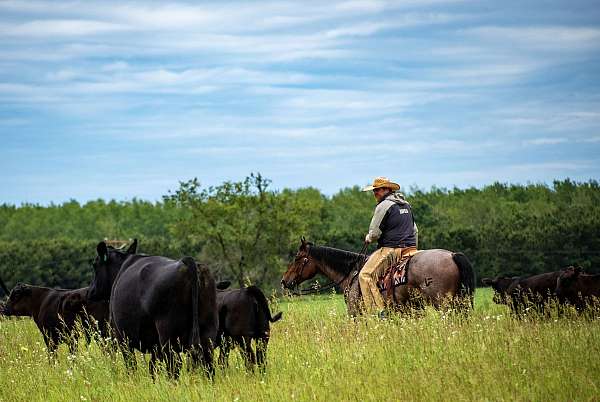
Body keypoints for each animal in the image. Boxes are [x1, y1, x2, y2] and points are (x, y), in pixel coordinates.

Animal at [86, 240, 218, 378]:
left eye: (94, 265)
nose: (90, 291)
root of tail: (187, 263)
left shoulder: (122, 337)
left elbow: (132, 366)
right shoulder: (155, 346)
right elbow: (153, 368)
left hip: (168, 335)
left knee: (174, 366)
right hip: (208, 331)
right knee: (208, 365)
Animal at [280, 237, 474, 316]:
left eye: (297, 258)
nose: (284, 280)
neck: (351, 273)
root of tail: (452, 255)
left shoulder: (355, 312)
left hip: (444, 304)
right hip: (460, 303)